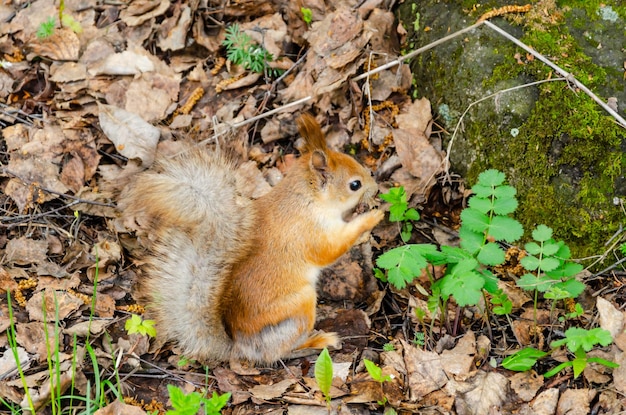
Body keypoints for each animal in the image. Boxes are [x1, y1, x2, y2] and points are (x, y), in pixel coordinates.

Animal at [116, 114, 380, 364]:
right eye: (354, 185)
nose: (376, 188)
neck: (305, 199)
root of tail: (241, 348)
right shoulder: (309, 233)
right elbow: (330, 250)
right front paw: (370, 218)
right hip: (300, 307)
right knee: (280, 353)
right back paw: (317, 341)